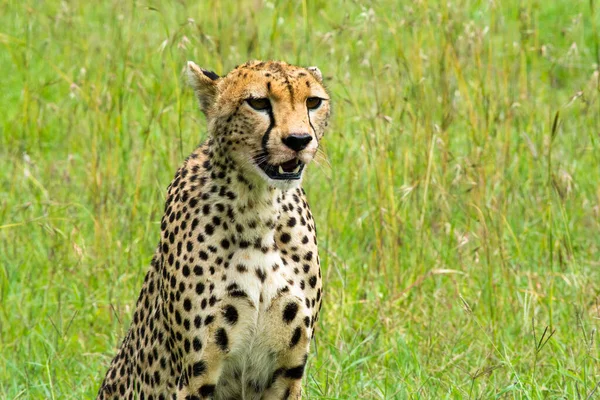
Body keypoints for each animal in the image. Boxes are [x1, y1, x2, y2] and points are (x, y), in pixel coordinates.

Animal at [99, 60, 332, 400]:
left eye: (313, 101)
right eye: (258, 103)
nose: (299, 140)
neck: (259, 209)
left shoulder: (288, 371)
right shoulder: (196, 373)